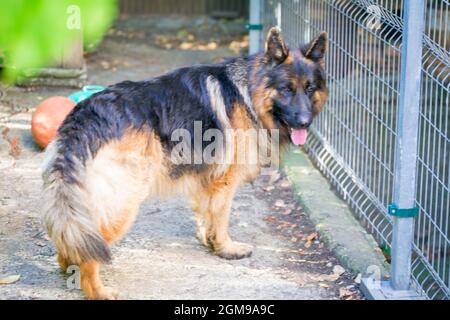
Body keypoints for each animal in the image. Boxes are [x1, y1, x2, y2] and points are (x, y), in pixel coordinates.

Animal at [42, 28, 328, 300]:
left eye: (309, 88)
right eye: (286, 89)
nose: (305, 123)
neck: (249, 93)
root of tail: (84, 115)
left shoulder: (207, 179)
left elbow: (205, 213)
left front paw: (208, 241)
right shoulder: (225, 181)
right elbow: (221, 217)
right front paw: (225, 248)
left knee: (72, 238)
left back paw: (69, 267)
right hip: (124, 201)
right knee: (91, 249)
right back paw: (98, 290)